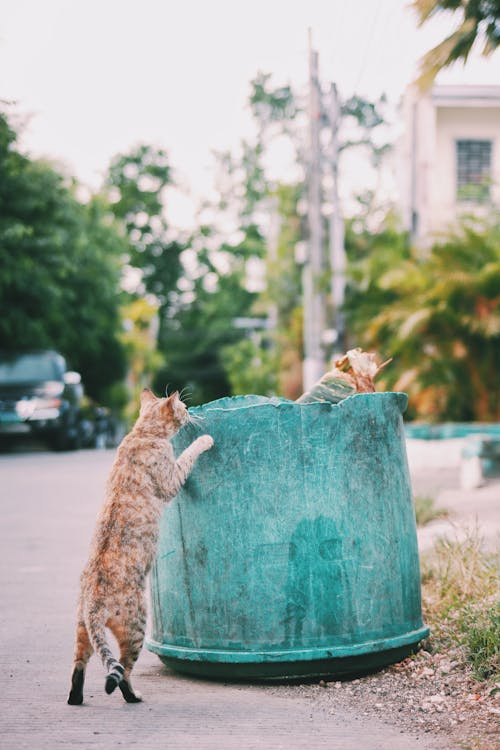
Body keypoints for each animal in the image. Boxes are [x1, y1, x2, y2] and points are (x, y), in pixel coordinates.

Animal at [67, 390, 213, 708]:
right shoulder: (171, 478)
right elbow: (188, 454)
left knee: (79, 665)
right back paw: (133, 696)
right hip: (136, 627)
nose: (190, 410)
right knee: (123, 671)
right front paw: (205, 439)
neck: (142, 432)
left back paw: (76, 698)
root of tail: (93, 604)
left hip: (82, 631)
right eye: (184, 406)